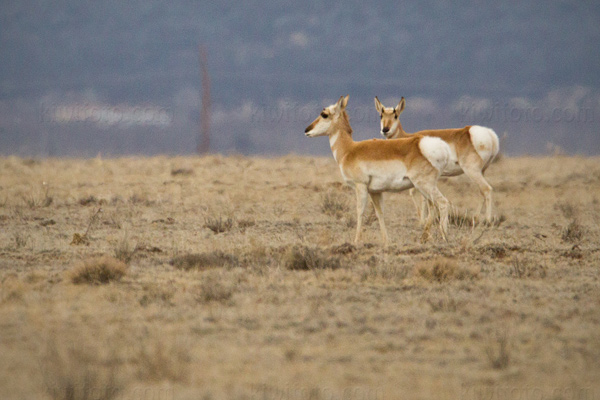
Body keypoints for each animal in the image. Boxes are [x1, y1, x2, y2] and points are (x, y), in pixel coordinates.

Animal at [304, 96, 450, 244]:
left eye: (324, 114)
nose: (306, 130)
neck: (349, 150)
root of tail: (425, 144)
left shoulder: (360, 186)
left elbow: (360, 212)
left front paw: (356, 240)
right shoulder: (375, 192)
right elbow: (380, 214)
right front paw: (386, 241)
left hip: (425, 185)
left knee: (443, 203)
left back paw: (444, 238)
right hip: (424, 188)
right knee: (433, 206)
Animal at [372, 95, 500, 223]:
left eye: (396, 115)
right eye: (381, 115)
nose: (385, 129)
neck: (407, 137)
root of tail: (489, 134)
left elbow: (415, 193)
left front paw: (423, 220)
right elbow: (423, 197)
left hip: (472, 170)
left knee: (486, 189)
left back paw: (487, 221)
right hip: (481, 171)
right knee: (481, 192)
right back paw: (476, 218)